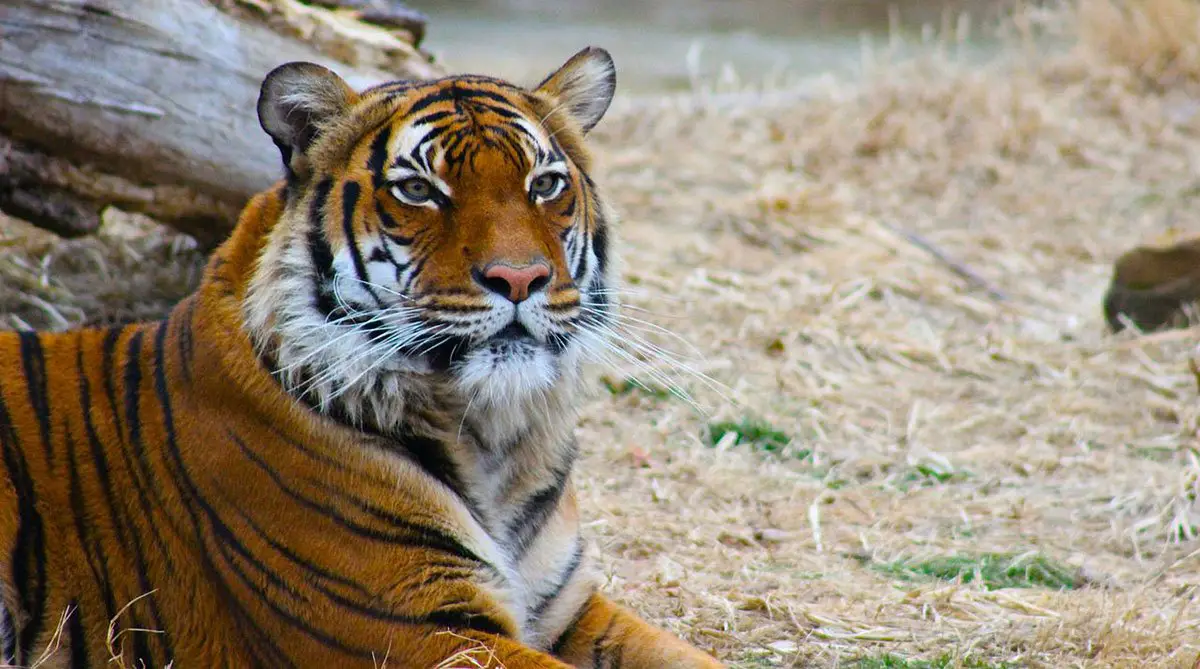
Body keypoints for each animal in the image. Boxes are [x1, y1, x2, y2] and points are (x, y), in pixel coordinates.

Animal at [0, 48, 724, 669]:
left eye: (544, 184)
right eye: (420, 190)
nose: (520, 279)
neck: (495, 441)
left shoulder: (568, 609)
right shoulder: (416, 630)